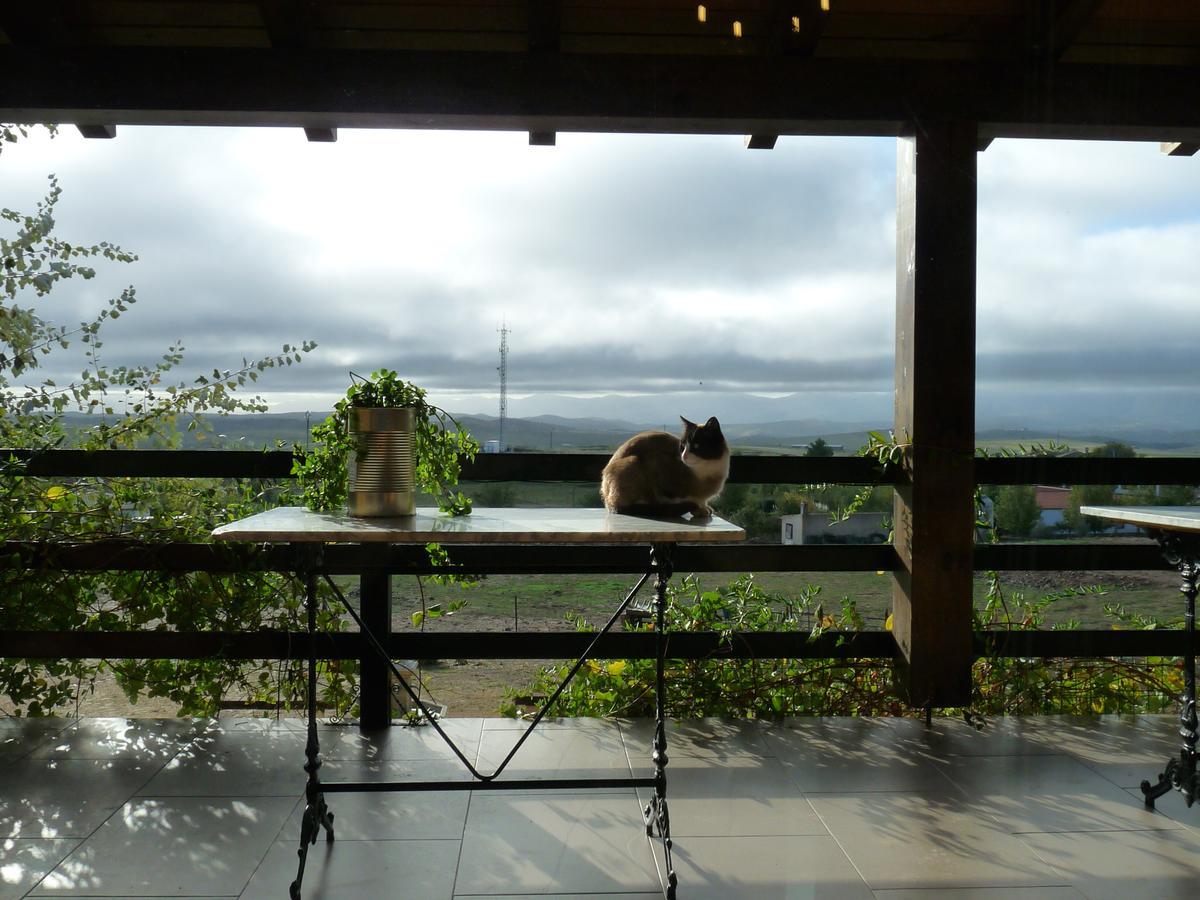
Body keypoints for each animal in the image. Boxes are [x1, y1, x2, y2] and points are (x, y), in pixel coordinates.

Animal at [600, 417, 729, 520]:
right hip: (633, 462)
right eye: (682, 447)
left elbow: (701, 501)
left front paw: (704, 508)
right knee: (627, 506)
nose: (684, 456)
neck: (706, 471)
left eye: (696, 446)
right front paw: (699, 509)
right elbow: (686, 499)